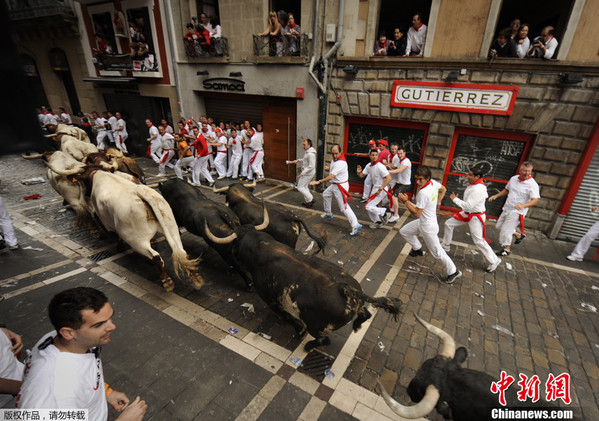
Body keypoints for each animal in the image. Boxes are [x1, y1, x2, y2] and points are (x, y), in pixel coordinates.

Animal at [205, 223, 404, 352]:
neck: (262, 246)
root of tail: (346, 289)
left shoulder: (273, 302)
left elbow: (289, 318)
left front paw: (299, 333)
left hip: (316, 327)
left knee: (325, 340)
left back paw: (308, 346)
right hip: (356, 305)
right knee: (365, 313)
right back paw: (356, 326)